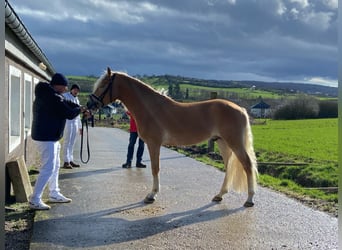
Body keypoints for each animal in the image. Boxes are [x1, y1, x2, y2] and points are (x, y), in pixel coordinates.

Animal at [87, 67, 258, 207]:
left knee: (247, 165)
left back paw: (249, 199)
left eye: (103, 85)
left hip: (235, 143)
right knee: (229, 167)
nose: (89, 105)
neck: (151, 109)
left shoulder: (153, 143)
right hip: (223, 143)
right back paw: (219, 195)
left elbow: (155, 168)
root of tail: (241, 109)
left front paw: (151, 195)